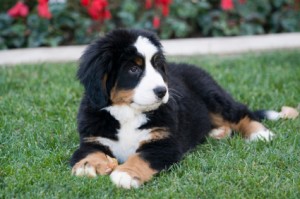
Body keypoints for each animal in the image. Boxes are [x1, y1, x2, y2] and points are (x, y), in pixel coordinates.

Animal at [70, 28, 288, 189]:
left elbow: (142, 157)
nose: (161, 91)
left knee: (240, 112)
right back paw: (217, 132)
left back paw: (260, 133)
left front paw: (125, 174)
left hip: (212, 95)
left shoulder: (165, 144)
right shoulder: (93, 138)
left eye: (157, 66)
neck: (128, 113)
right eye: (133, 69)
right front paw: (87, 166)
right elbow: (87, 152)